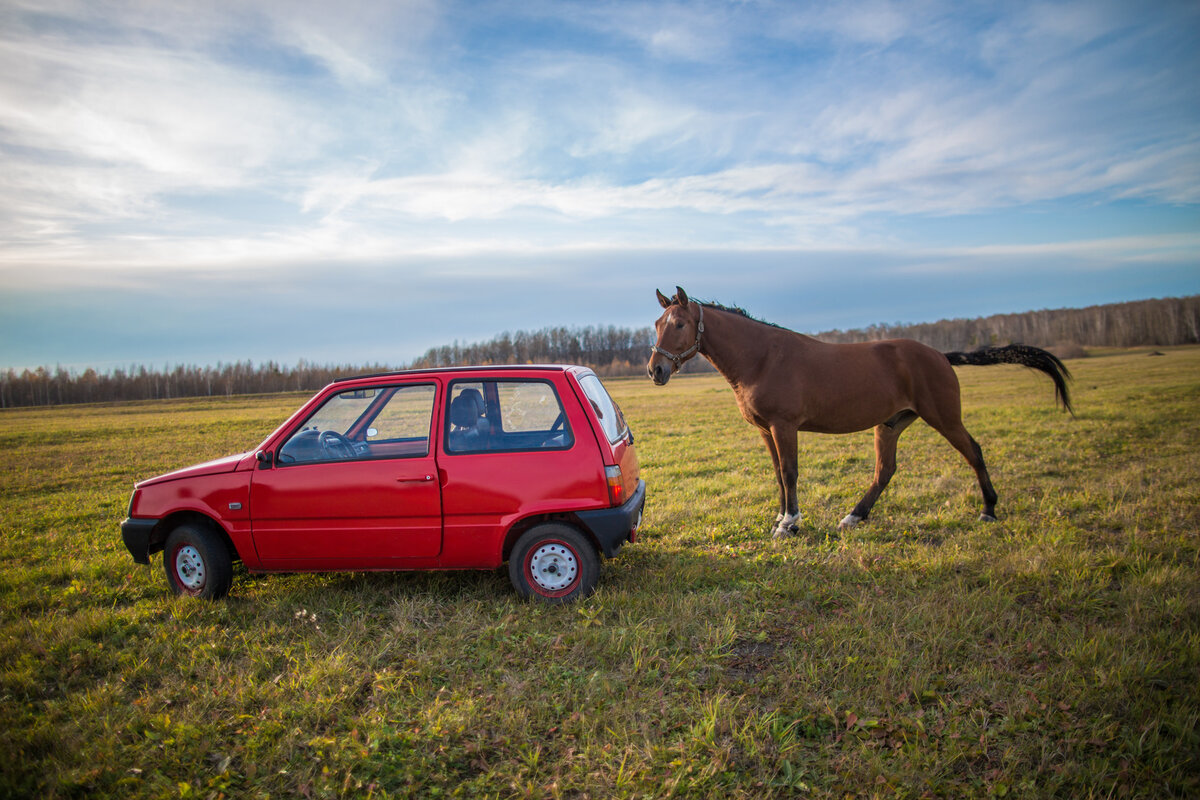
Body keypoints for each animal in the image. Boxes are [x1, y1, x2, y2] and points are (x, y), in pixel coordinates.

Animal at [652, 284, 1075, 534]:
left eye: (678, 324)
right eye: (657, 323)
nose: (655, 370)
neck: (762, 358)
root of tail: (941, 355)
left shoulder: (784, 426)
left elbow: (789, 473)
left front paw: (789, 523)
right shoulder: (764, 429)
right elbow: (777, 474)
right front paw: (780, 517)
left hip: (944, 417)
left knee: (974, 452)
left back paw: (988, 509)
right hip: (889, 425)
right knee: (885, 471)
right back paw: (854, 516)